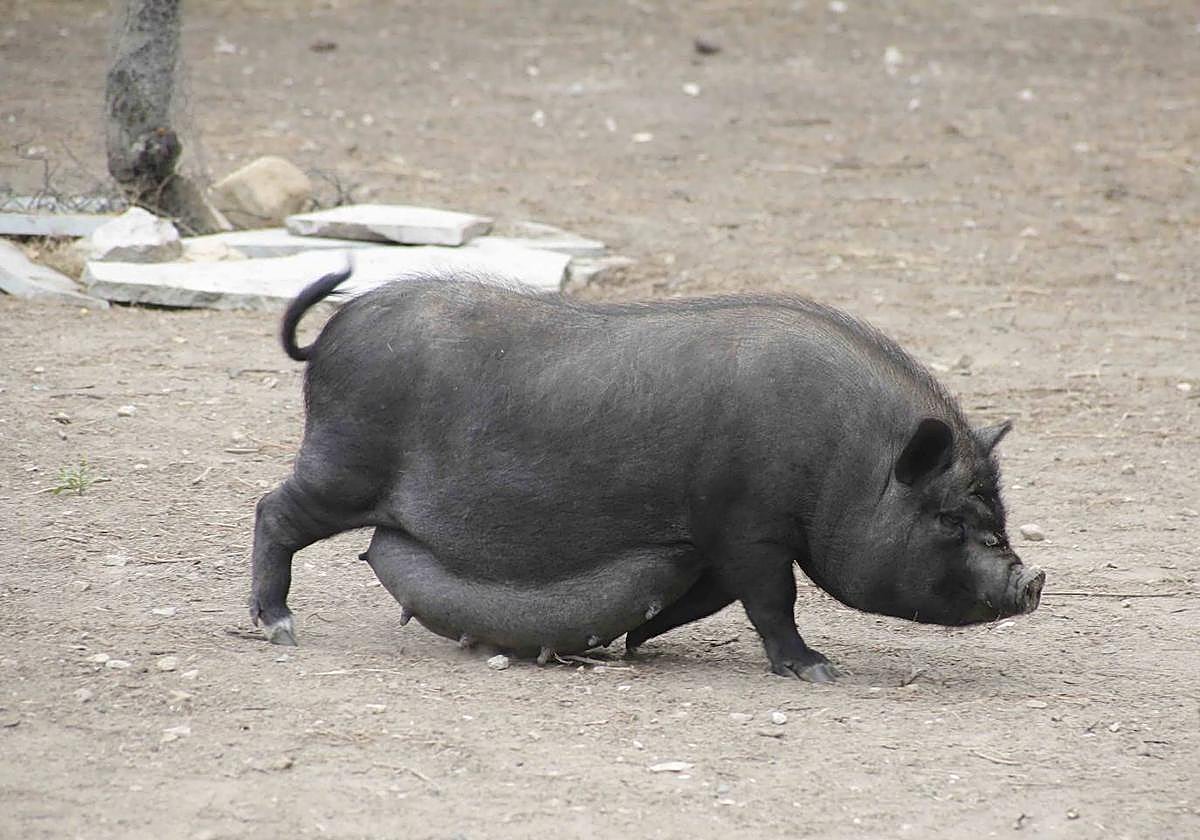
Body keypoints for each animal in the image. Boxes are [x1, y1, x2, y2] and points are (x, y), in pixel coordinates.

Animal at [250, 267, 1044, 682]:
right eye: (950, 517)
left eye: (998, 513)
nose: (1032, 579)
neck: (844, 459)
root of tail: (332, 332)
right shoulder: (749, 525)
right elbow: (772, 601)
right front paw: (816, 671)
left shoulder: (716, 537)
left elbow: (709, 598)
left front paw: (633, 642)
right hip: (342, 464)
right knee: (271, 511)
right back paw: (279, 627)